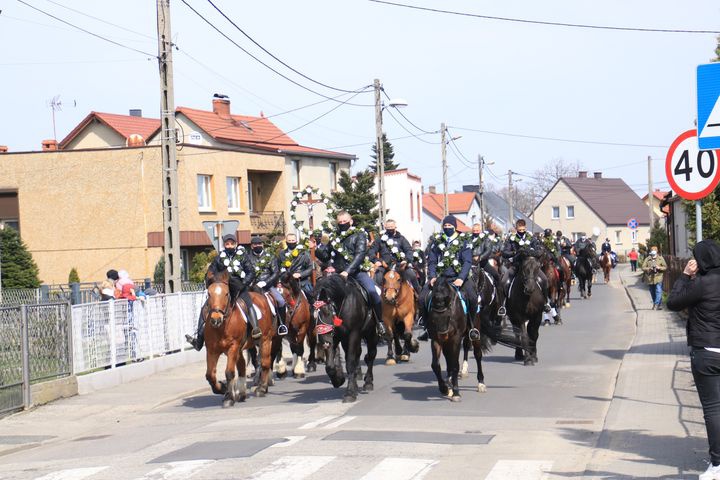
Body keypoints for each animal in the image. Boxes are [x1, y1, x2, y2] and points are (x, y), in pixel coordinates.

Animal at [316, 274, 380, 402]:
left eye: (327, 312)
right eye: (314, 314)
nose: (322, 340)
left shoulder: (353, 334)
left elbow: (350, 363)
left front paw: (349, 393)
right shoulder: (335, 337)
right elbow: (329, 365)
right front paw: (338, 380)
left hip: (371, 333)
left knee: (371, 354)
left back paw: (368, 382)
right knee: (358, 355)